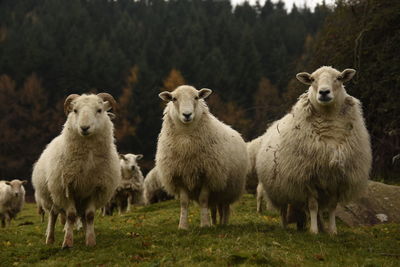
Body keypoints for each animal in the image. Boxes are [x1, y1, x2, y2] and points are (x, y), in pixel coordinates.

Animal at [31, 93, 120, 248]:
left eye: (99, 110)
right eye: (75, 110)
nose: (84, 127)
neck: (87, 163)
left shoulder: (95, 188)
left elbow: (89, 215)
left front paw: (90, 241)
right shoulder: (66, 189)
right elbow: (71, 215)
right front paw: (67, 243)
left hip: (80, 199)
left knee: (81, 216)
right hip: (53, 196)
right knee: (53, 215)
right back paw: (50, 239)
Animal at [155, 86, 247, 230]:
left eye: (196, 97)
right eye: (174, 99)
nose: (187, 115)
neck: (186, 138)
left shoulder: (208, 175)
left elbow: (203, 199)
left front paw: (204, 225)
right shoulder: (179, 176)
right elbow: (184, 202)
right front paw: (183, 226)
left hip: (229, 188)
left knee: (225, 207)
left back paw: (224, 223)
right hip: (217, 193)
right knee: (215, 208)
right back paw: (214, 223)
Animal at [256, 66, 372, 234]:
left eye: (339, 78)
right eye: (312, 79)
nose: (324, 92)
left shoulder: (336, 179)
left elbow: (332, 207)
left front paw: (332, 231)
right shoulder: (307, 178)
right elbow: (312, 205)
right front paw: (313, 231)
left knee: (317, 211)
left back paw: (321, 226)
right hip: (281, 187)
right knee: (284, 209)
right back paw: (285, 226)